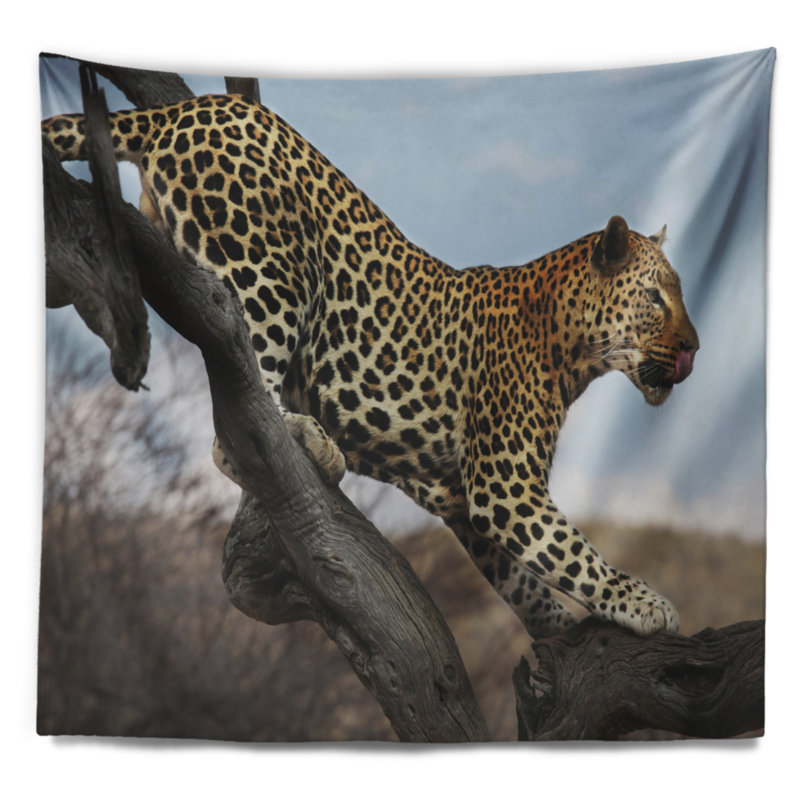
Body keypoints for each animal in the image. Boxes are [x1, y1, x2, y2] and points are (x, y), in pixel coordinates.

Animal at [42, 92, 700, 639]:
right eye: (656, 298)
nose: (693, 349)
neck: (574, 348)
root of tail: (188, 107)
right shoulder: (505, 485)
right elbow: (571, 551)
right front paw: (643, 602)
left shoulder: (464, 498)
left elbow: (525, 579)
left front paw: (557, 631)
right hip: (269, 271)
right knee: (237, 409)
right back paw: (310, 438)